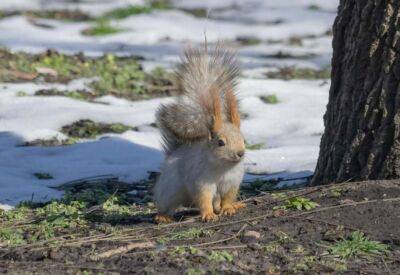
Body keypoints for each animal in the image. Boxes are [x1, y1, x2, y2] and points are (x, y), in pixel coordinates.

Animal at [153, 43, 245, 224]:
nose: (240, 153)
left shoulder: (232, 183)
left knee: (217, 201)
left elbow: (228, 198)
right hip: (170, 188)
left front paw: (229, 208)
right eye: (220, 142)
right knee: (167, 203)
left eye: (244, 140)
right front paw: (208, 214)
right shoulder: (202, 181)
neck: (223, 167)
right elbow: (204, 199)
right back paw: (162, 216)